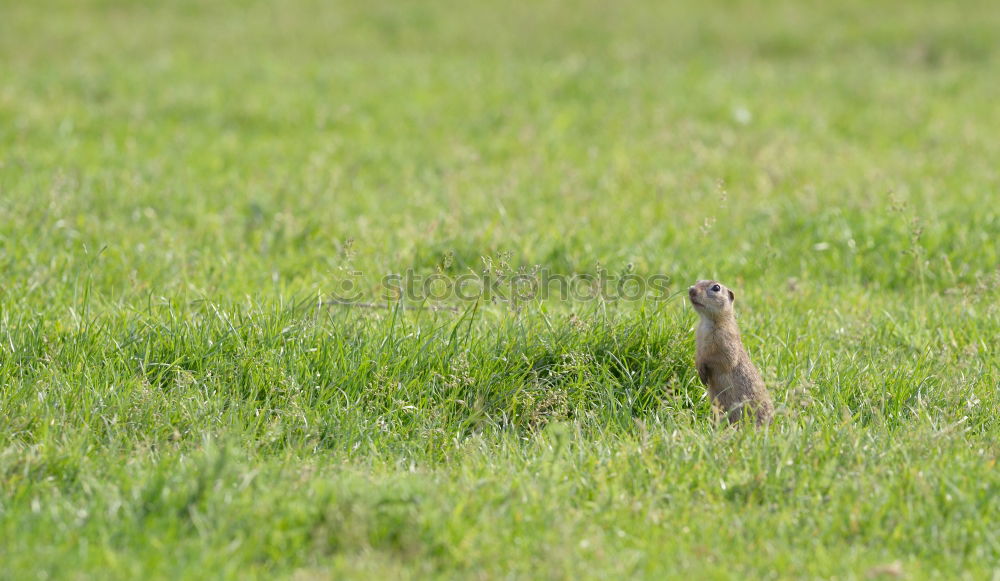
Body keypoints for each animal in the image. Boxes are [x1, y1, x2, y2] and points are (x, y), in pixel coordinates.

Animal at [688, 280, 772, 426]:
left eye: (716, 287)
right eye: (697, 281)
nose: (691, 289)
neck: (707, 321)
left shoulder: (725, 340)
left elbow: (721, 359)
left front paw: (703, 371)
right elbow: (698, 355)